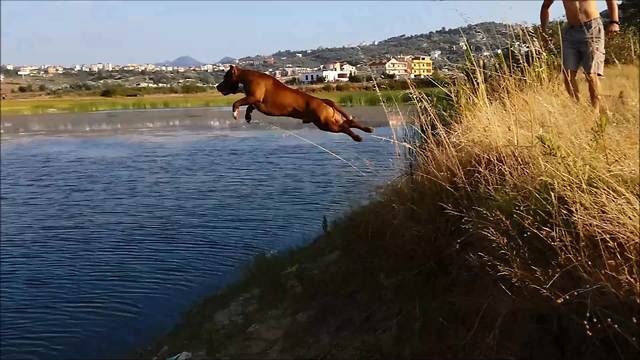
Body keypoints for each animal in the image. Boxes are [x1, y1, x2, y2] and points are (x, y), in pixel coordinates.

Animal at [216, 65, 372, 141]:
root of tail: (323, 100)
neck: (247, 76)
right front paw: (247, 116)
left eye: (225, 78)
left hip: (326, 124)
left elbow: (237, 102)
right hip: (329, 121)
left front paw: (235, 113)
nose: (217, 87)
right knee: (349, 122)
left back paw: (357, 137)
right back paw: (366, 129)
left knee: (345, 127)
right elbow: (248, 106)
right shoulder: (254, 101)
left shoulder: (255, 98)